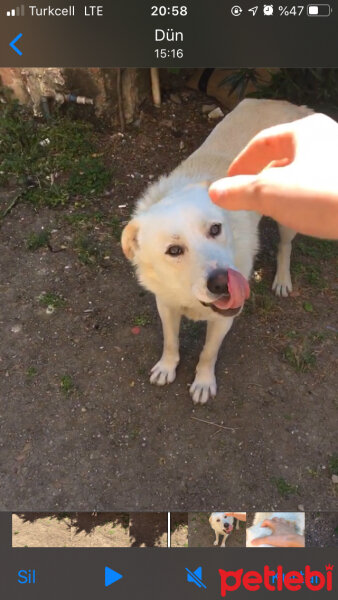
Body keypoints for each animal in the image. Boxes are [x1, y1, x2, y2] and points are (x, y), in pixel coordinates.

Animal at [121, 101, 312, 406]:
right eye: (174, 250)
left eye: (215, 229)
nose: (223, 282)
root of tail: (289, 104)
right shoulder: (165, 304)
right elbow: (170, 341)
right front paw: (167, 366)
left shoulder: (224, 320)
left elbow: (208, 353)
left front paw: (202, 382)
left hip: (288, 211)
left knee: (285, 246)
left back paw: (282, 279)